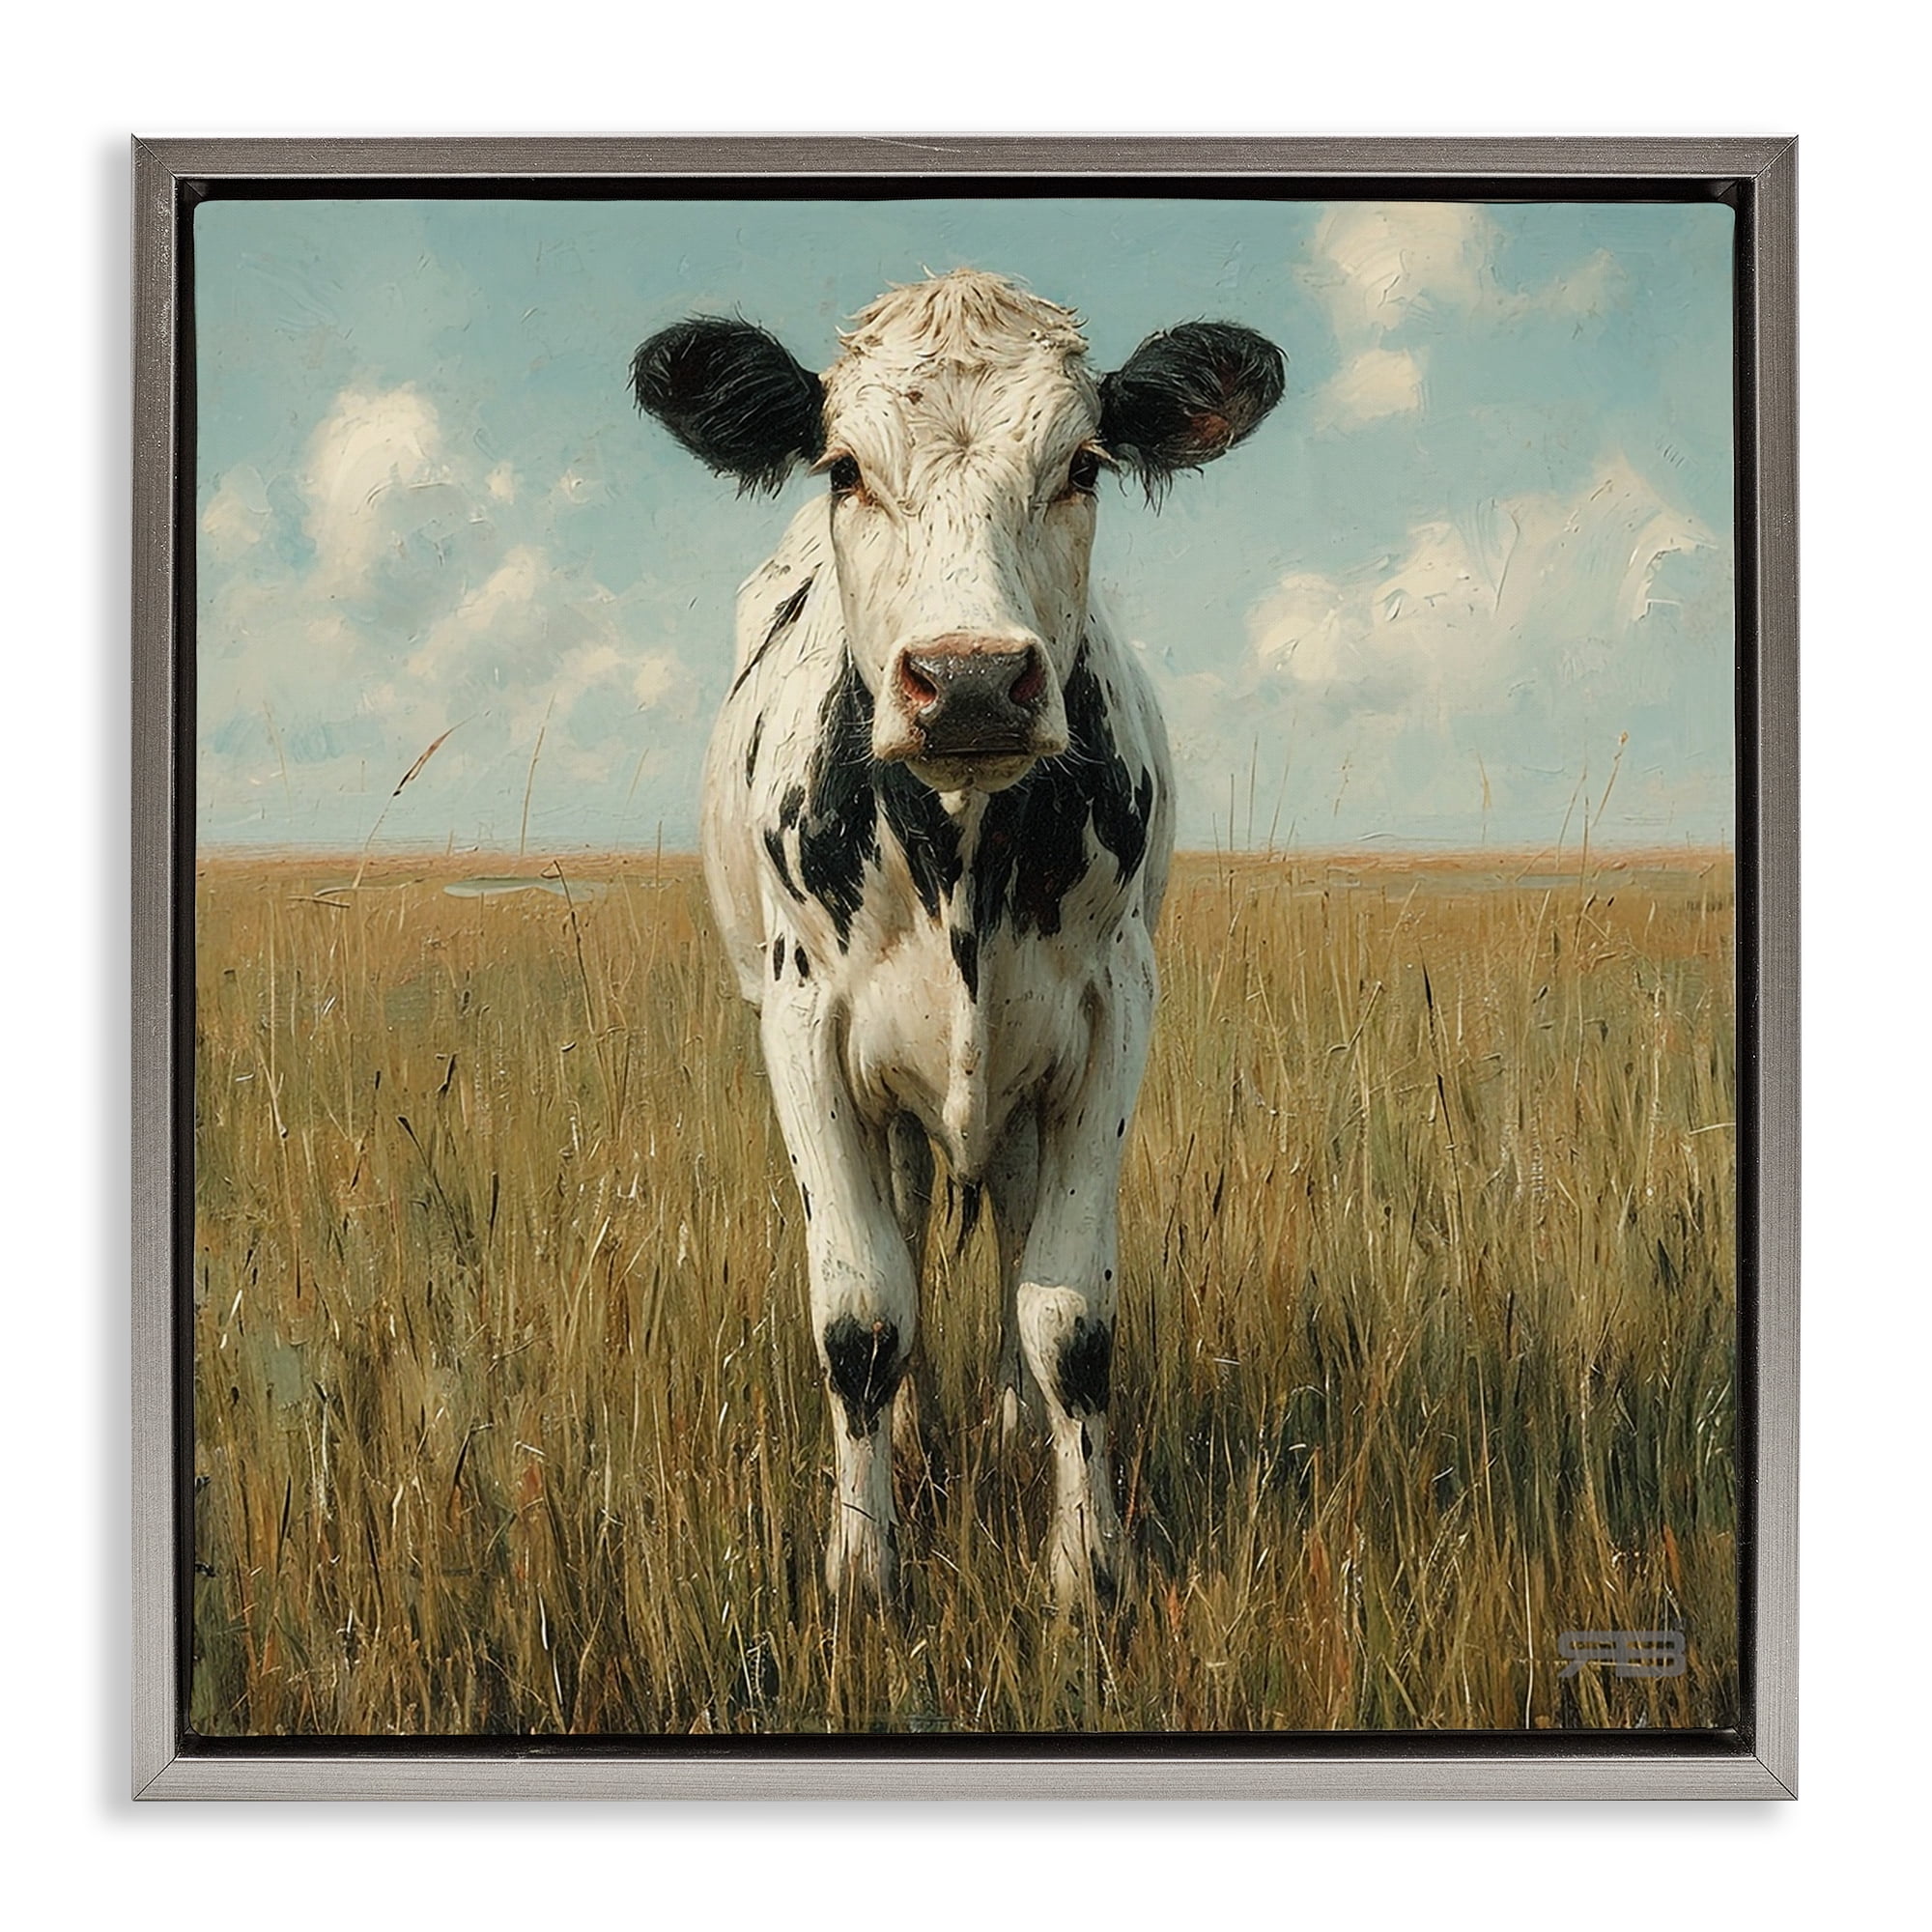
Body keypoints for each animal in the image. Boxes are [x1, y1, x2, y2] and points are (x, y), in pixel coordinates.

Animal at [632, 270, 1283, 1609]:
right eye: (842, 466)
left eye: (1081, 463)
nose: (971, 679)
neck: (961, 861)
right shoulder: (799, 1023)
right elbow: (861, 1310)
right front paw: (861, 1568)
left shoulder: (1111, 1011)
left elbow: (1066, 1311)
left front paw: (1085, 1566)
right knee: (908, 1224)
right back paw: (924, 1426)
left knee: (1009, 1233)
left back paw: (1001, 1420)